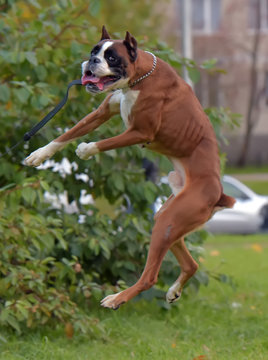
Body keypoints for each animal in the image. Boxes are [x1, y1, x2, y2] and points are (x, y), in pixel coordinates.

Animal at [24, 26, 234, 310]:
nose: (91, 61)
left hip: (168, 222)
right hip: (169, 220)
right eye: (94, 51)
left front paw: (86, 150)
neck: (140, 78)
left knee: (150, 277)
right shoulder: (102, 112)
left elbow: (104, 142)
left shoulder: (140, 132)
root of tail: (219, 193)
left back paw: (117, 298)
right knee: (191, 265)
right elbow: (67, 134)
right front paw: (39, 155)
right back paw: (173, 291)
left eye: (112, 57)